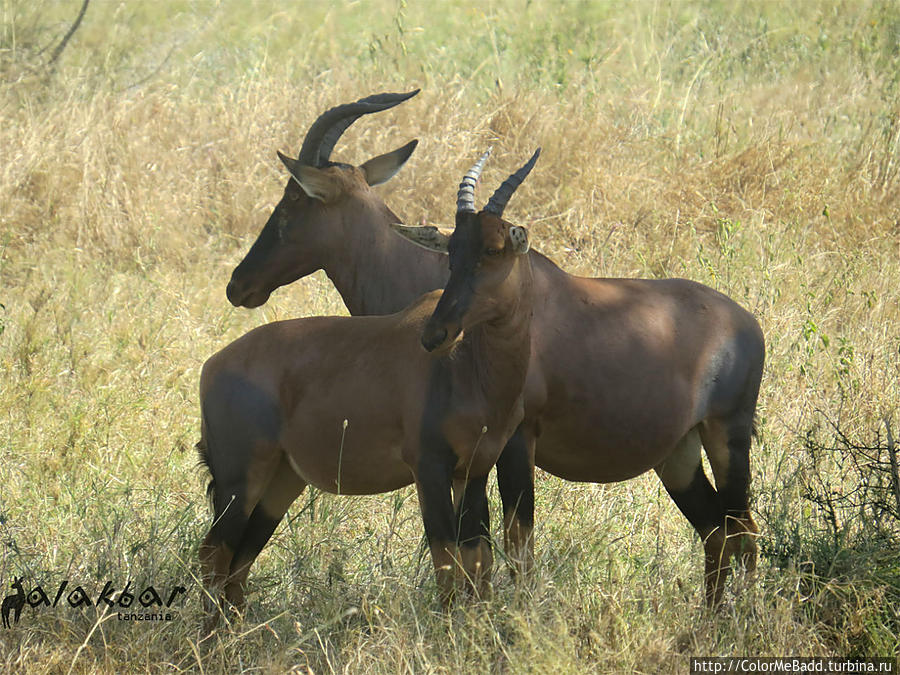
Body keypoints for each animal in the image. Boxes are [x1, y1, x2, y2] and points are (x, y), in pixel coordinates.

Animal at [198, 148, 540, 628]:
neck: (469, 366)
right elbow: (446, 564)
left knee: (238, 561)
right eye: (451, 251)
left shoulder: (473, 470)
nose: (435, 335)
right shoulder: (428, 468)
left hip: (280, 483)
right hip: (238, 478)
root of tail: (213, 365)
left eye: (493, 249)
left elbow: (477, 565)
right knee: (214, 554)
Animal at [229, 91, 764, 608]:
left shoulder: (515, 440)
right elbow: (480, 548)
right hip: (678, 451)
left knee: (744, 531)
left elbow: (513, 545)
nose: (239, 285)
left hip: (728, 435)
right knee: (717, 532)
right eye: (449, 251)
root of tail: (746, 322)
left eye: (295, 197)